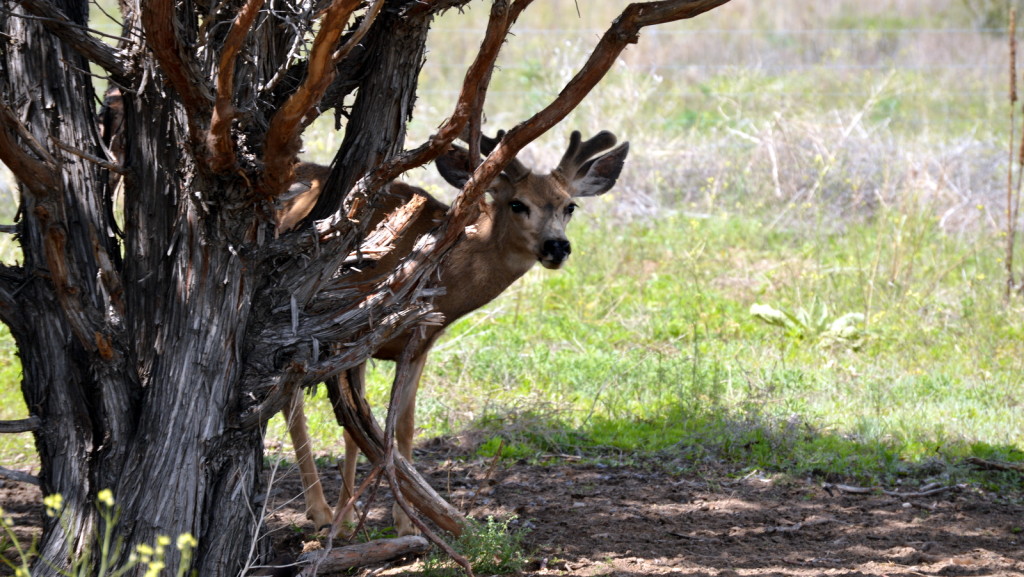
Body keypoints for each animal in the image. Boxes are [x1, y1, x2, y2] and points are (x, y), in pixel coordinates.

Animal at [284, 131, 626, 537]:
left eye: (569, 206)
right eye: (517, 203)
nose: (557, 246)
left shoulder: (419, 344)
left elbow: (402, 427)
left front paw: (406, 521)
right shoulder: (352, 333)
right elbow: (354, 429)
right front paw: (344, 519)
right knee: (291, 404)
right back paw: (319, 511)